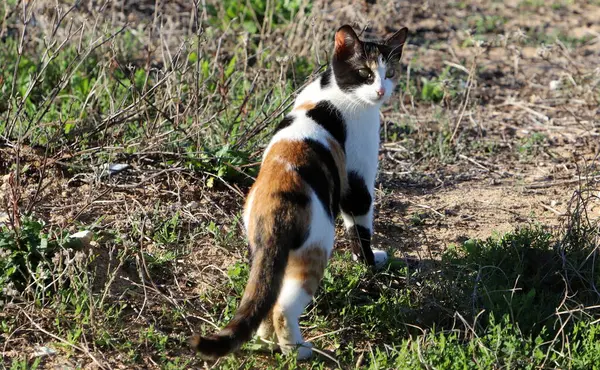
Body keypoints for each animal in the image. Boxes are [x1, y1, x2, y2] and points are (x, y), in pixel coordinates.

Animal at [192, 24, 408, 360]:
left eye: (390, 73)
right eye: (365, 73)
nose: (381, 91)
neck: (334, 92)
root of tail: (275, 201)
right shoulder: (357, 180)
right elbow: (360, 230)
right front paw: (370, 263)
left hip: (267, 256)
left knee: (266, 299)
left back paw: (268, 342)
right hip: (314, 249)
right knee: (283, 307)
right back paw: (299, 351)